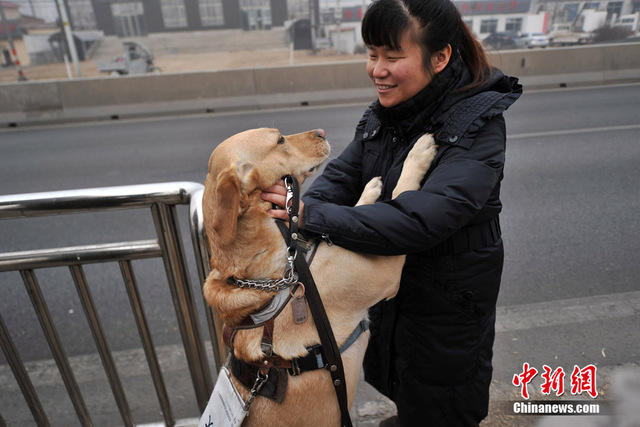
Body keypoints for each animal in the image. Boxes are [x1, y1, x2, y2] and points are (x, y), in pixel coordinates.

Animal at [202, 129, 438, 426]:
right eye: (280, 140)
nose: (321, 133)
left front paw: (370, 190)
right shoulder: (385, 269)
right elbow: (399, 197)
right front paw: (418, 152)